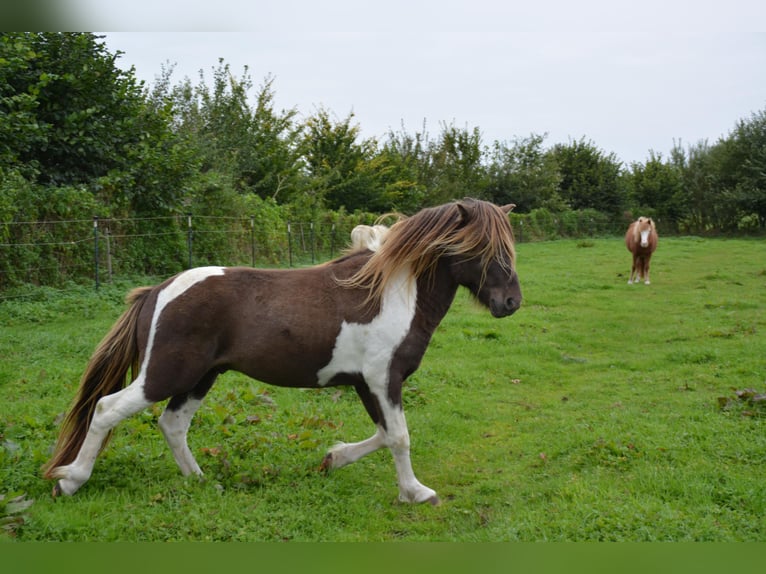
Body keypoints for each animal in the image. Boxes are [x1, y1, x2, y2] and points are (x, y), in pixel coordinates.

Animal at [42, 198, 521, 505]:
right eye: (481, 248)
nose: (510, 303)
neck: (390, 292)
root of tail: (156, 291)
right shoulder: (383, 379)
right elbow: (399, 436)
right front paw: (417, 493)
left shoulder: (368, 383)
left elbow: (385, 434)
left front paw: (333, 459)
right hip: (166, 374)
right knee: (107, 409)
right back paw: (69, 483)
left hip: (201, 377)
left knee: (173, 424)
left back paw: (202, 482)